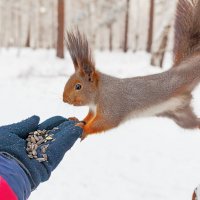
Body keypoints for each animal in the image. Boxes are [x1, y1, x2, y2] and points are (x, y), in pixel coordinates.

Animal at [63, 0, 200, 141]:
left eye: (78, 86)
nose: (64, 99)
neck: (98, 93)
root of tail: (181, 65)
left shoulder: (111, 104)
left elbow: (107, 121)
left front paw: (84, 128)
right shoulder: (93, 109)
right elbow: (89, 117)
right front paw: (78, 119)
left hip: (190, 71)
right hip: (180, 116)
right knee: (193, 122)